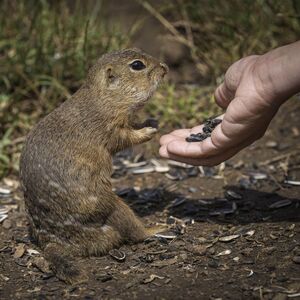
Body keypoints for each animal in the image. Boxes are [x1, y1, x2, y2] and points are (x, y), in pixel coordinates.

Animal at [19, 48, 169, 284]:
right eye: (137, 65)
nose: (165, 68)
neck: (102, 96)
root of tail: (54, 242)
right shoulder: (110, 126)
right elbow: (125, 138)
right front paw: (148, 130)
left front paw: (151, 121)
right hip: (115, 208)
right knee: (134, 232)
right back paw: (157, 228)